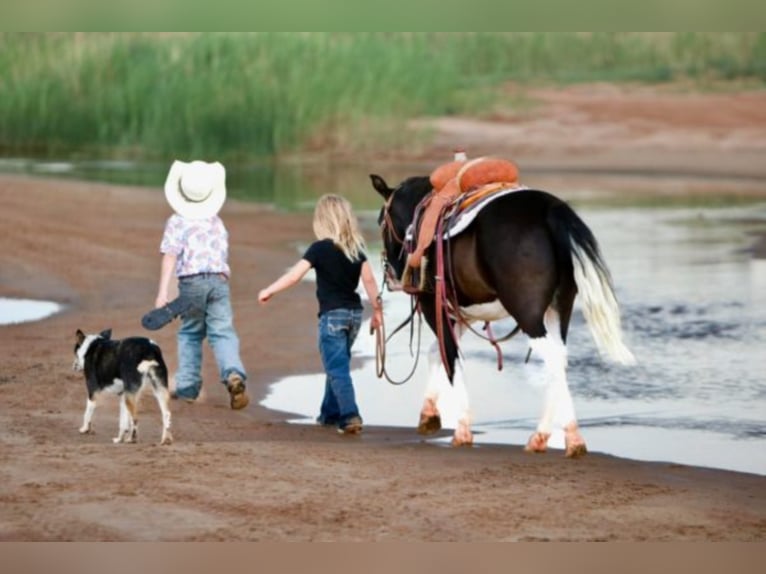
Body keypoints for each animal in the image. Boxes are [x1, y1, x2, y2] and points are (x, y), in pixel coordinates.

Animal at [372, 173, 636, 456]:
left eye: (381, 223)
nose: (391, 274)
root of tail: (550, 209)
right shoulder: (463, 314)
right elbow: (437, 351)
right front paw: (429, 414)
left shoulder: (433, 304)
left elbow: (450, 357)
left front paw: (462, 428)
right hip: (559, 309)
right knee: (560, 359)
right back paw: (543, 436)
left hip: (528, 315)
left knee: (552, 357)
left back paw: (570, 437)